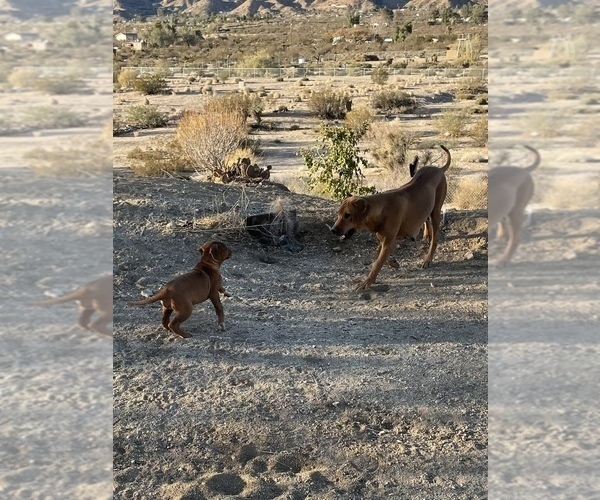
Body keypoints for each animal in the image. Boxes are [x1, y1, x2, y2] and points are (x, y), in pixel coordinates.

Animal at [332, 145, 450, 290]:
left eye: (348, 215)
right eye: (338, 214)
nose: (333, 230)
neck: (380, 210)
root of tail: (438, 169)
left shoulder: (388, 241)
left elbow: (377, 263)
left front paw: (367, 282)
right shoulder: (385, 240)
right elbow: (378, 254)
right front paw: (393, 263)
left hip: (436, 211)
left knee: (435, 239)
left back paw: (428, 258)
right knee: (426, 222)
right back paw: (426, 236)